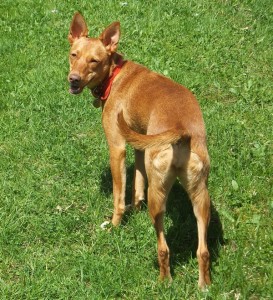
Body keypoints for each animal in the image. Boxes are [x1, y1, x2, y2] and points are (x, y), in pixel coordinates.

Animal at [67, 12, 210, 288]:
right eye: (73, 54)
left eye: (94, 61)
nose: (73, 80)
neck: (115, 74)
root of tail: (182, 132)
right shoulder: (140, 147)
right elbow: (137, 184)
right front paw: (136, 209)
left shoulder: (117, 148)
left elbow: (118, 195)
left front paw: (115, 225)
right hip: (200, 197)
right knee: (203, 250)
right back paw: (204, 285)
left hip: (161, 196)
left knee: (163, 247)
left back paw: (164, 280)